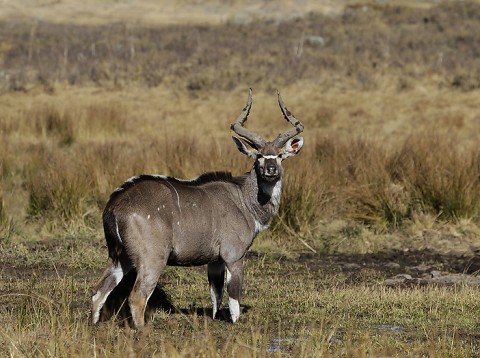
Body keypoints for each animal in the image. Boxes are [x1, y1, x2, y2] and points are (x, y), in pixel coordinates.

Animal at [91, 89, 304, 330]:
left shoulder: (215, 261)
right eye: (258, 155)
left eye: (279, 156)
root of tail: (114, 205)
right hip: (152, 259)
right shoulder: (234, 256)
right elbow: (234, 298)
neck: (243, 199)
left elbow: (215, 295)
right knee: (137, 297)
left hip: (119, 257)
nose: (270, 169)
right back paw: (143, 330)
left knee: (98, 292)